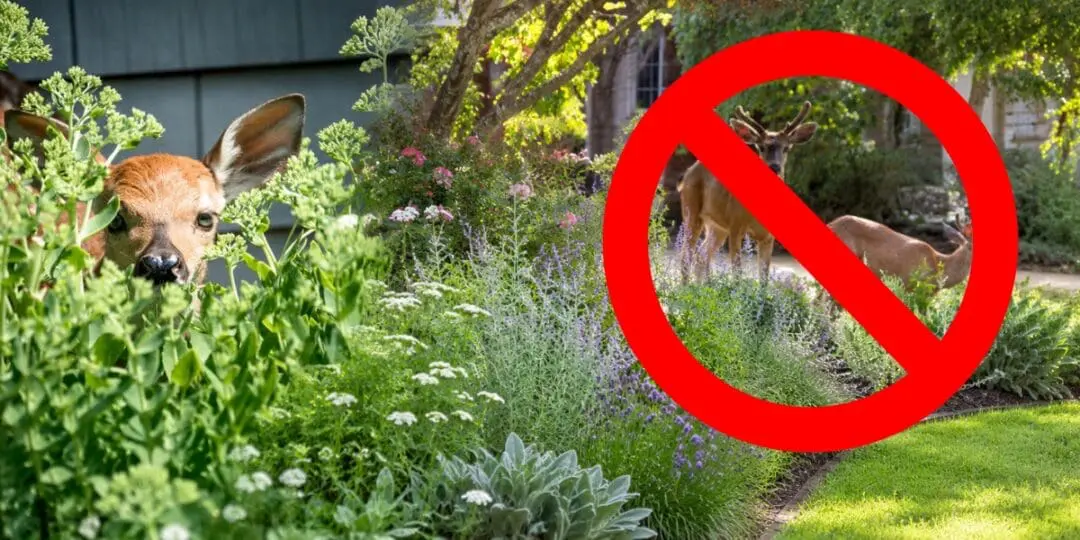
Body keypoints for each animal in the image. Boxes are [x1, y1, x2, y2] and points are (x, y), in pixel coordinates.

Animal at [677, 101, 818, 284]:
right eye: (761, 147)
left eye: (787, 148)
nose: (775, 166)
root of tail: (688, 172)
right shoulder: (735, 225)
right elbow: (737, 273)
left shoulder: (768, 236)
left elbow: (764, 278)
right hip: (691, 210)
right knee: (686, 256)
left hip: (717, 226)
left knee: (702, 256)